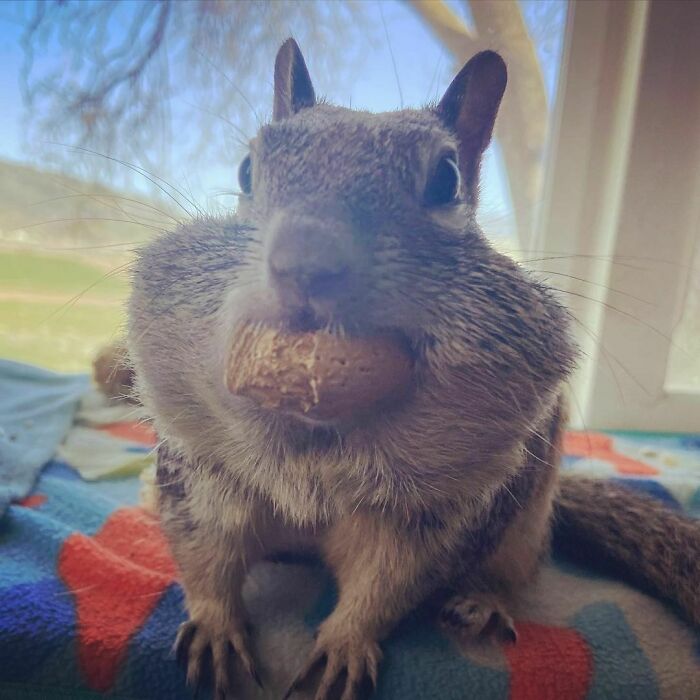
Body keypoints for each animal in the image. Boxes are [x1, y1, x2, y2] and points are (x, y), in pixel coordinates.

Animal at [126, 39, 700, 700]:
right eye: (247, 170)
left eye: (446, 180)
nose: (305, 263)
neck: (316, 436)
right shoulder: (204, 478)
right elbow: (205, 557)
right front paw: (216, 626)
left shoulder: (425, 521)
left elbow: (386, 586)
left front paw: (347, 643)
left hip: (523, 522)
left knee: (514, 569)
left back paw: (483, 601)